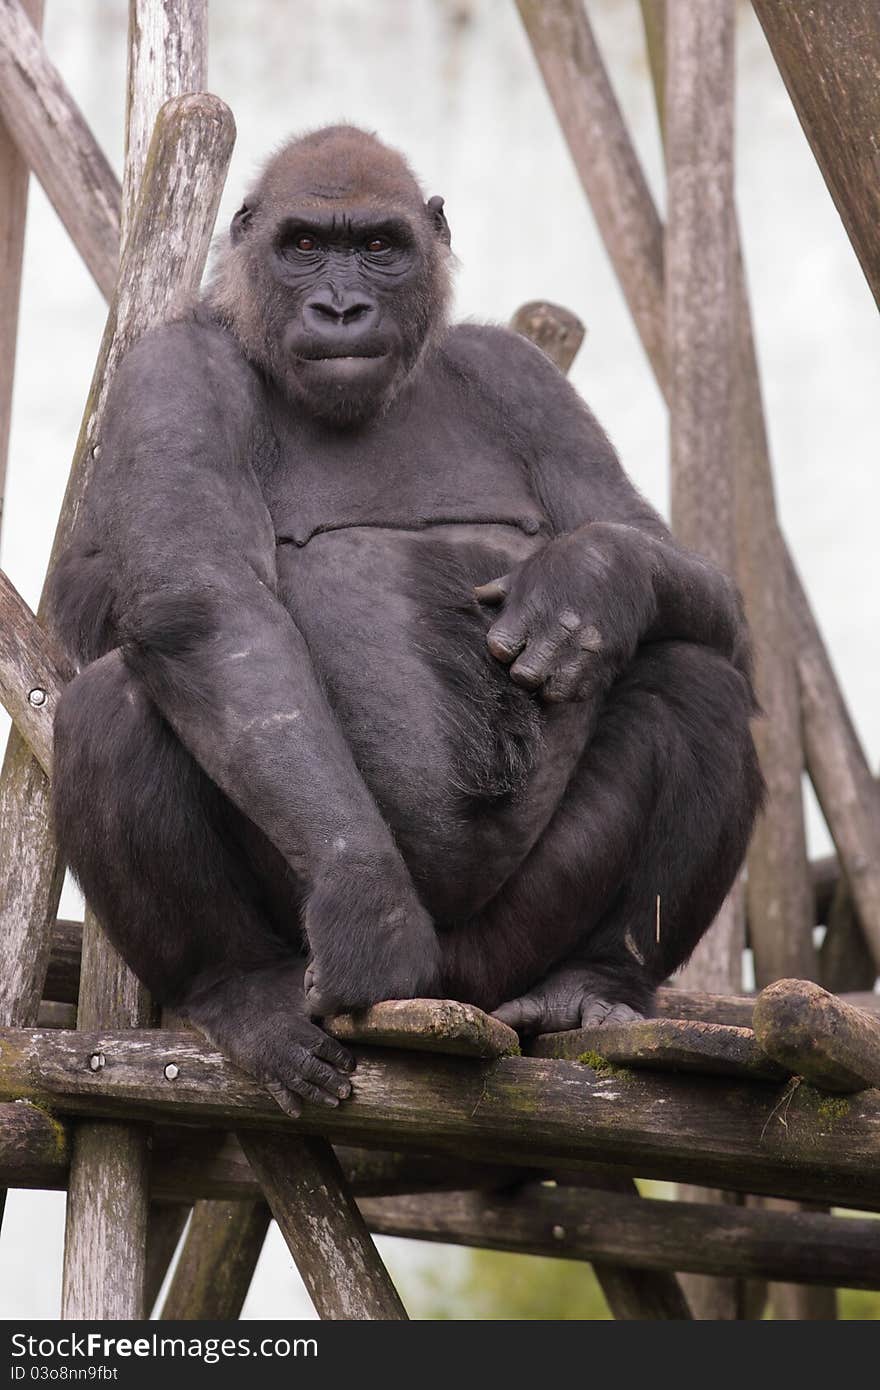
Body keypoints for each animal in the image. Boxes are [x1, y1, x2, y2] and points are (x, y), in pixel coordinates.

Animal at [49, 125, 761, 1112]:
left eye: (380, 247)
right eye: (306, 245)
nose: (342, 307)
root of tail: (458, 993)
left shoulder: (522, 373)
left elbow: (683, 571)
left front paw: (595, 579)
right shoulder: (169, 373)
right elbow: (208, 610)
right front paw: (366, 902)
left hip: (504, 954)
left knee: (695, 675)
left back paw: (594, 981)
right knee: (118, 699)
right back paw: (242, 992)